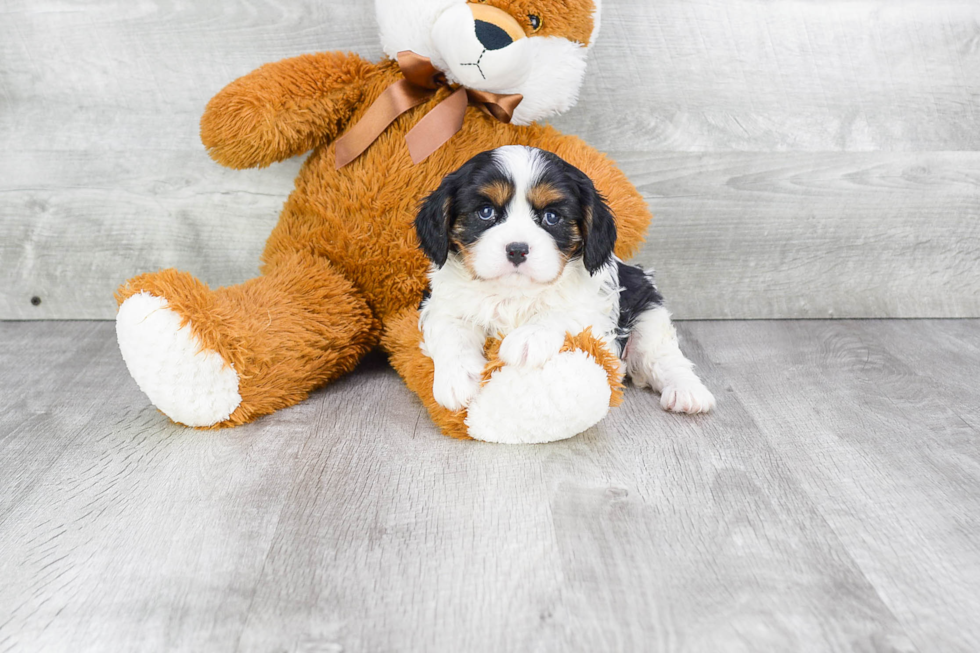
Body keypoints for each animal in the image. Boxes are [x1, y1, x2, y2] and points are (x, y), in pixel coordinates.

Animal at [412, 146, 712, 416]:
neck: (514, 293)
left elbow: (561, 313)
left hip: (648, 311)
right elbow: (453, 333)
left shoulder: (594, 306)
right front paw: (457, 380)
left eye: (551, 217)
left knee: (662, 357)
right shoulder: (443, 305)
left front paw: (528, 338)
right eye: (486, 212)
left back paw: (687, 392)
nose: (517, 249)